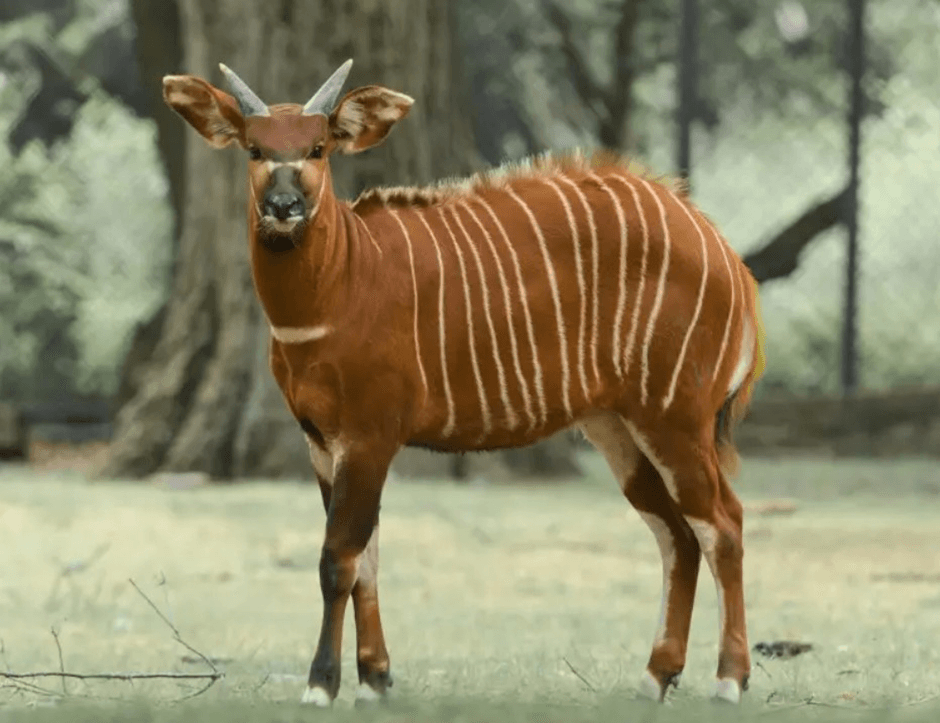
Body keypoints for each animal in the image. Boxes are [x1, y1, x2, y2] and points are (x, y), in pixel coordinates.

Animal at [162, 59, 764, 704]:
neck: (345, 279)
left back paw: (729, 680)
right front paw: (375, 680)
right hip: (619, 430)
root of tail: (728, 256)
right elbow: (365, 558)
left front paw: (323, 686)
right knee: (676, 533)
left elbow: (337, 559)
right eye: (254, 148)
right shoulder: (322, 442)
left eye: (318, 147)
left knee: (722, 523)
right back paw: (655, 675)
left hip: (675, 419)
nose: (283, 206)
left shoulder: (370, 437)